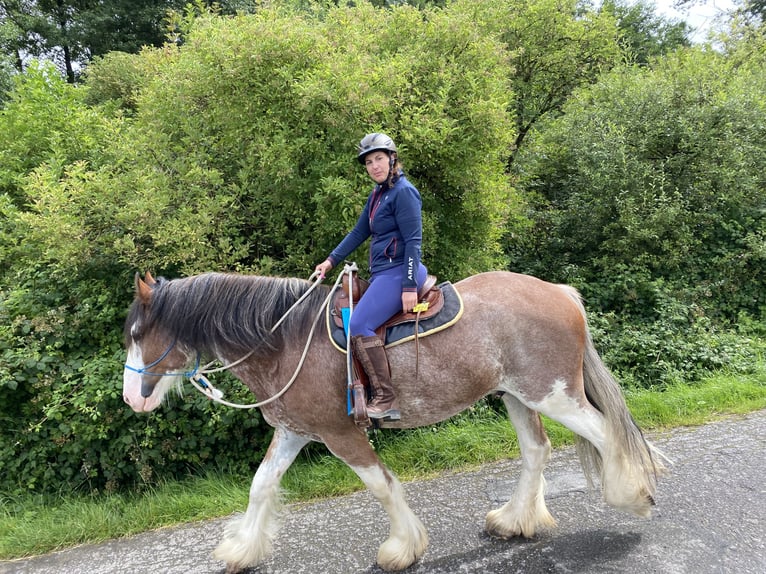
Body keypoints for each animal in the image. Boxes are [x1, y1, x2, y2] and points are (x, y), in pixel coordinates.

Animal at [121, 272, 664, 574]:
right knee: (536, 450)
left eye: (138, 333)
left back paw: (632, 495)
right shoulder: (294, 430)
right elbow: (261, 485)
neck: (285, 341)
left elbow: (381, 485)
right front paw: (242, 550)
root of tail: (561, 293)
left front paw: (403, 548)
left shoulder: (340, 434)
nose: (130, 398)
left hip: (554, 395)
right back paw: (515, 520)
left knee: (607, 434)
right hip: (516, 395)